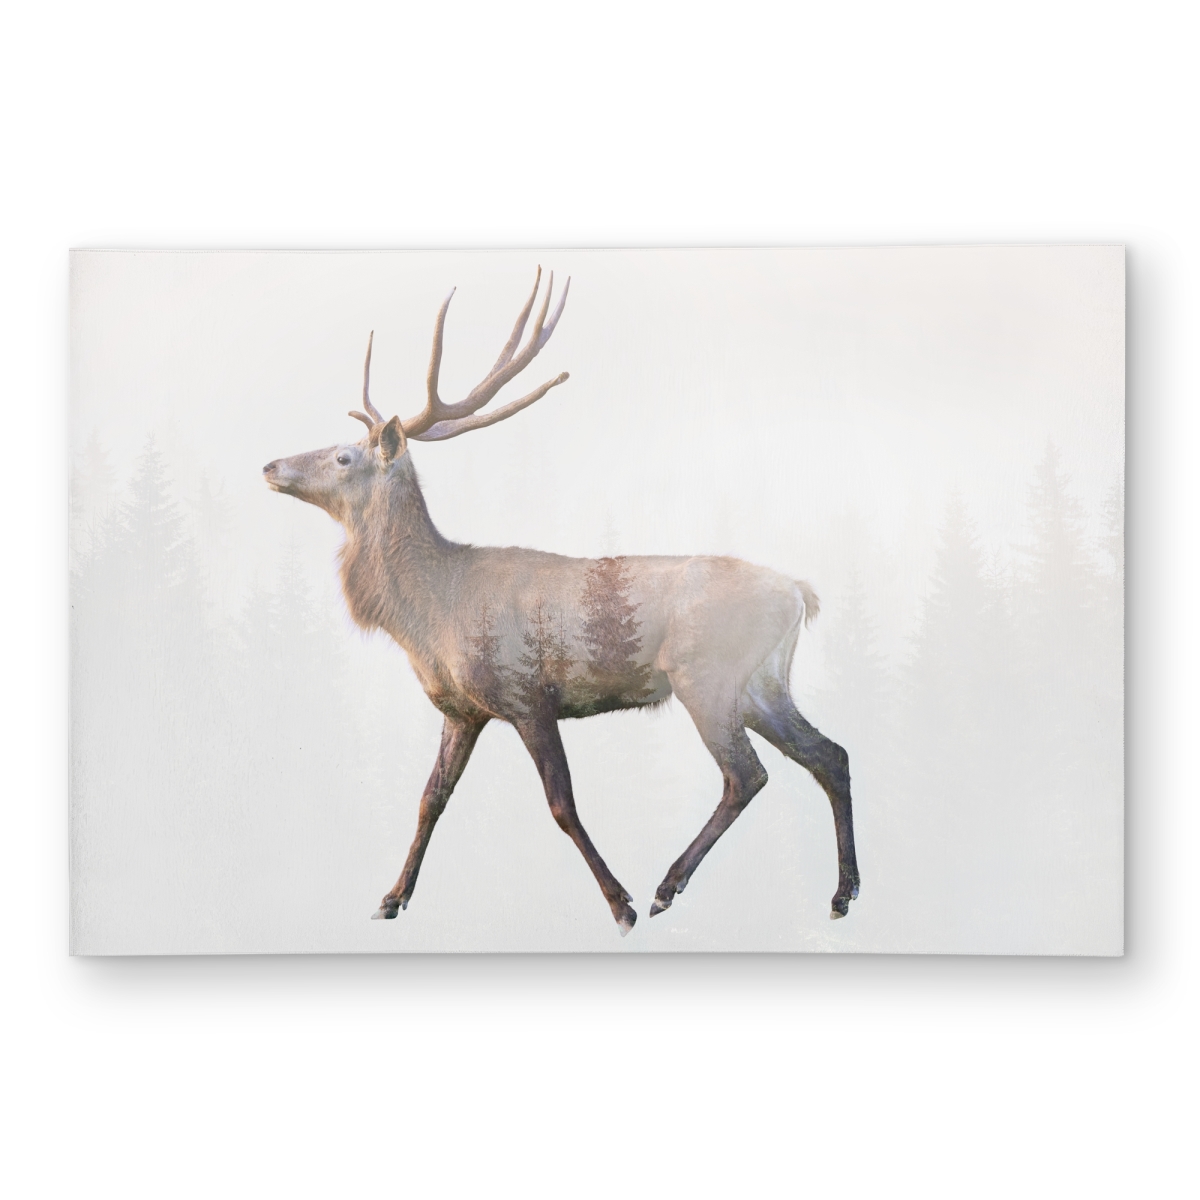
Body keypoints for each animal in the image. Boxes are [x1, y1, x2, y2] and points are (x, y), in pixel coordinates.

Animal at [262, 268, 859, 935]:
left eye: (343, 456)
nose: (271, 465)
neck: (431, 616)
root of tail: (799, 591)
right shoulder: (461, 710)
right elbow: (429, 799)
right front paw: (392, 898)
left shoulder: (527, 693)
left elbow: (561, 804)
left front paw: (619, 903)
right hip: (763, 683)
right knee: (830, 754)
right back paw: (843, 894)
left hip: (705, 674)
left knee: (747, 774)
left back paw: (666, 886)